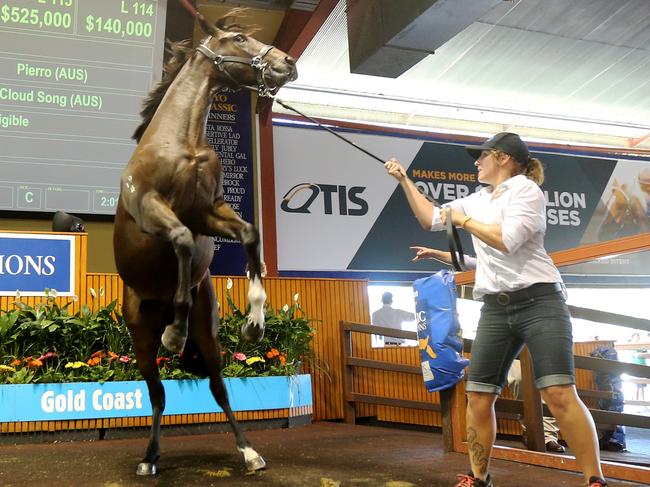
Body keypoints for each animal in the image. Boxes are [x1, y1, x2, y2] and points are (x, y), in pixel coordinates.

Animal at [112, 11, 294, 476]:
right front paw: (175, 335)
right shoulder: (150, 206)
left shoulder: (207, 213)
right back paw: (149, 457)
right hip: (140, 339)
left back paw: (249, 452)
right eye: (239, 38)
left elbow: (250, 235)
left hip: (208, 334)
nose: (287, 63)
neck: (181, 142)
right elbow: (179, 240)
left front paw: (254, 323)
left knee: (218, 386)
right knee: (157, 395)